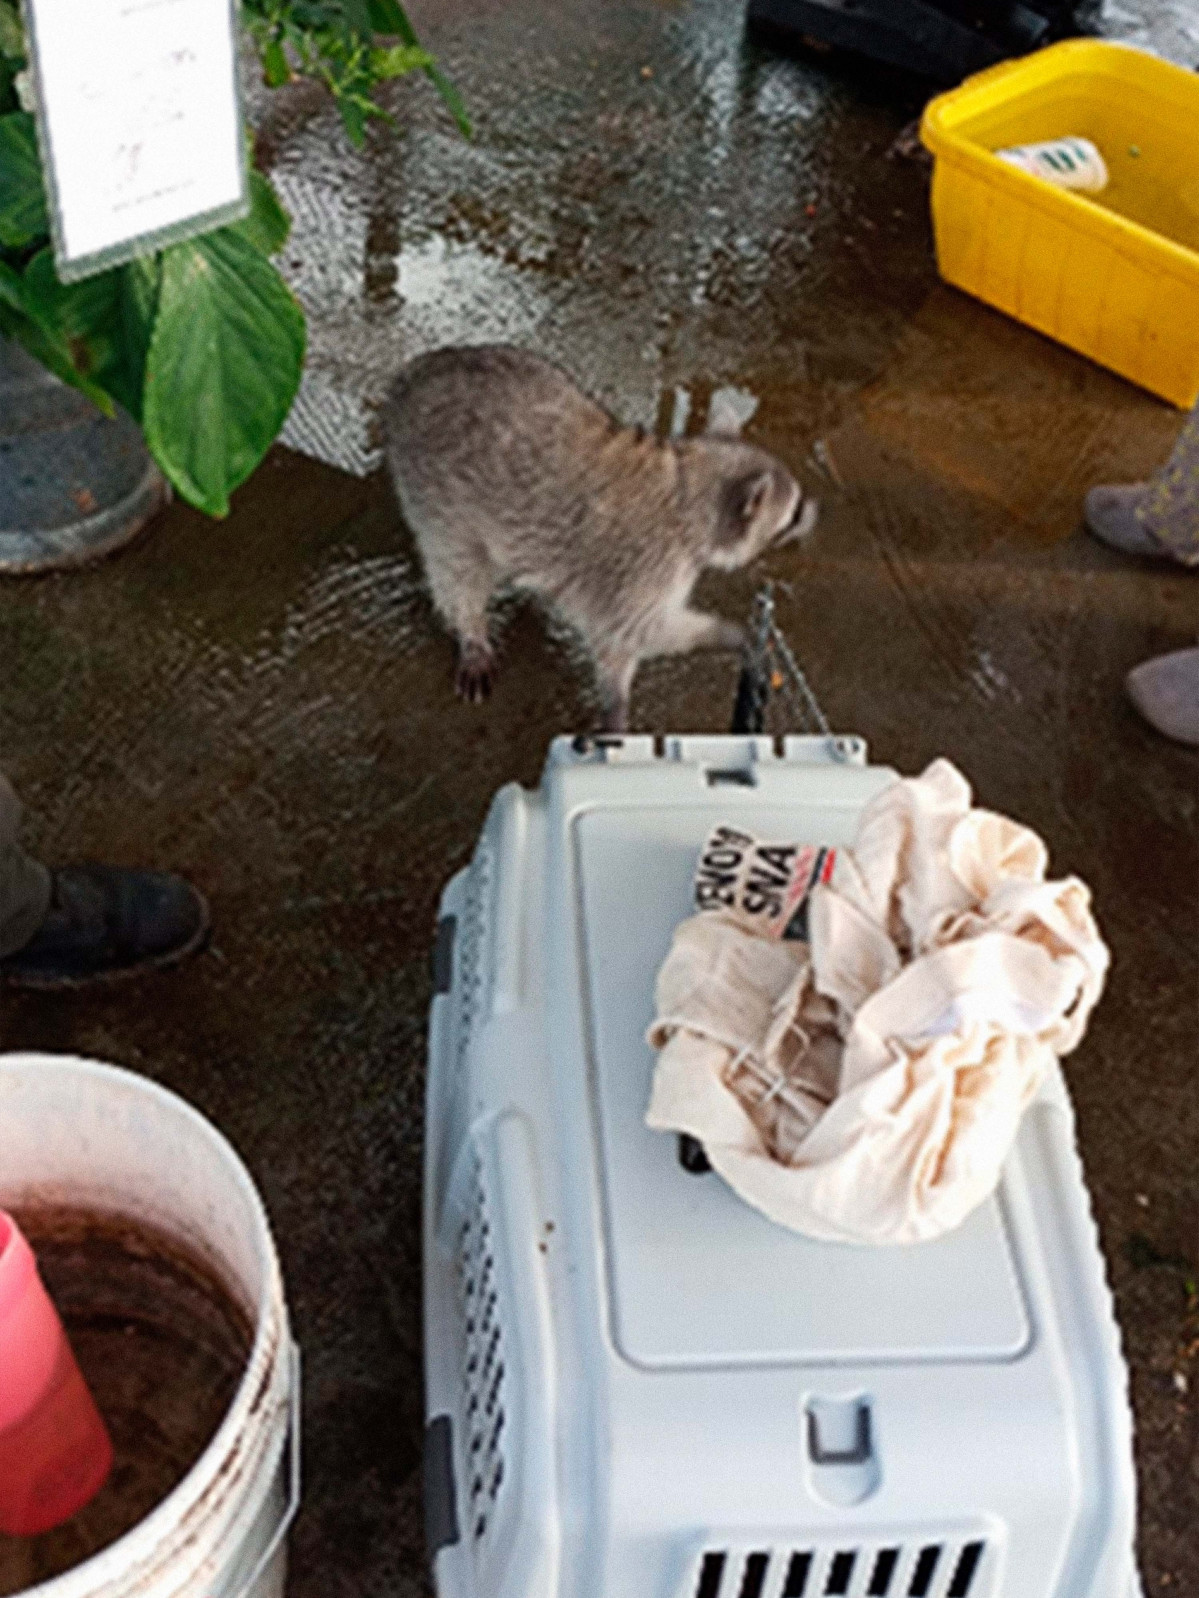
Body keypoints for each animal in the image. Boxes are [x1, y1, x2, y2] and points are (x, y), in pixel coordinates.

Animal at [385, 346, 818, 731]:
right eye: (793, 512)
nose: (815, 510)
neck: (686, 482)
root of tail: (416, 374)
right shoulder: (645, 564)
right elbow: (637, 631)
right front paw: (728, 634)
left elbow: (619, 643)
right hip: (435, 492)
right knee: (458, 571)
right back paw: (471, 631)